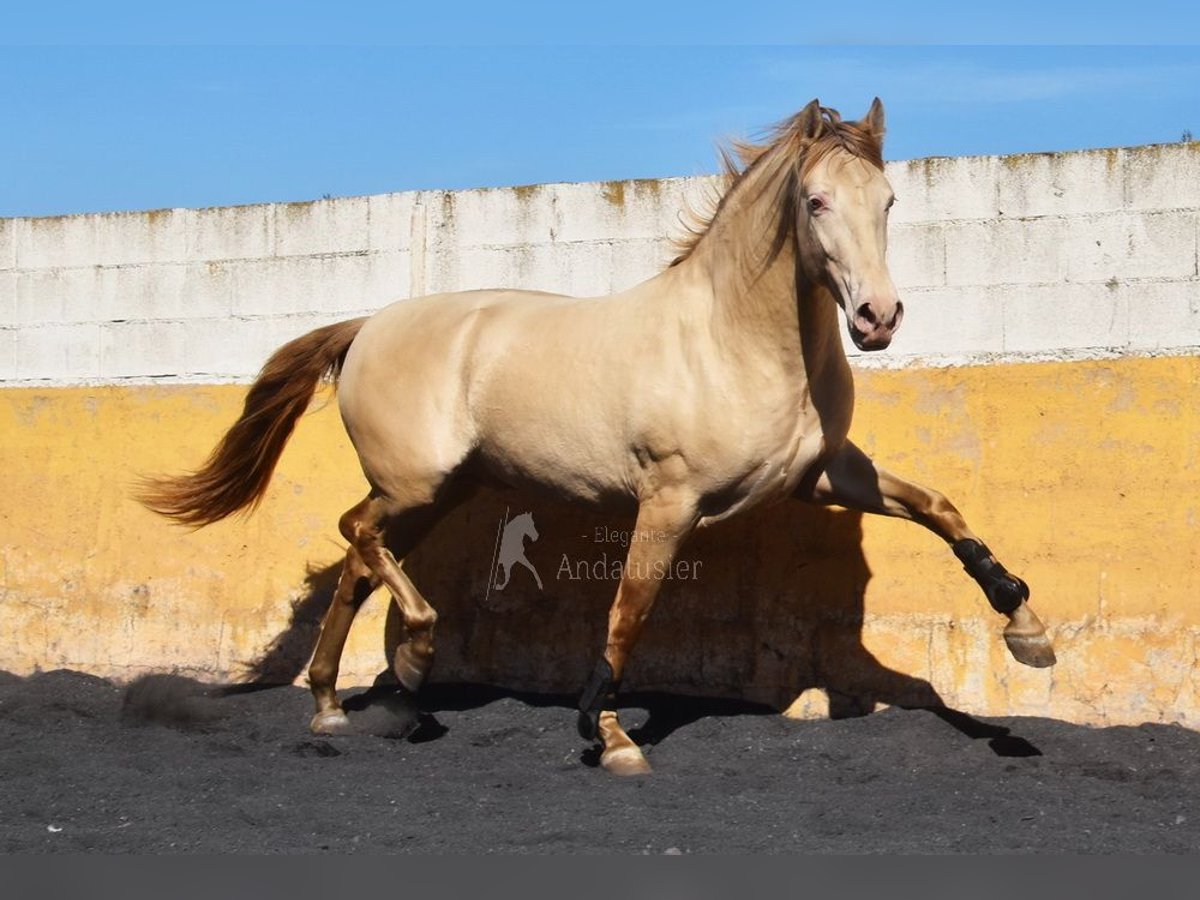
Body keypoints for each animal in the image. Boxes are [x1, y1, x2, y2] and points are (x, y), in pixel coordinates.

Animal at [140, 97, 1056, 777]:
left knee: (358, 567)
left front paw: (1026, 628)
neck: (733, 342)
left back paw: (336, 705)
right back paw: (412, 661)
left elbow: (939, 508)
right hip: (416, 483)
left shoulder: (823, 474)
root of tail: (366, 326)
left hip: (439, 495)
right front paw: (608, 735)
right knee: (355, 533)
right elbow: (630, 609)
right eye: (816, 201)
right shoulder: (670, 498)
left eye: (889, 203)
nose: (877, 319)